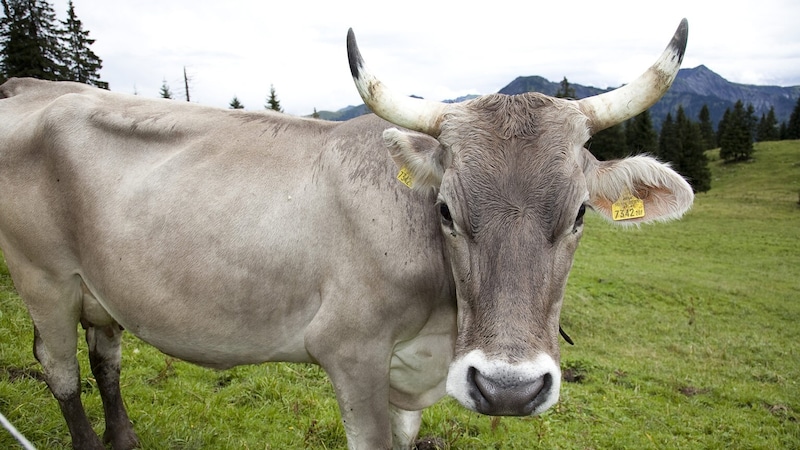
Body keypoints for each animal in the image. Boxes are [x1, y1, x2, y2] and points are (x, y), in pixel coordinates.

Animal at [0, 18, 692, 450]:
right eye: (445, 210)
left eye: (579, 214)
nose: (507, 389)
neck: (442, 325)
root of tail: (31, 84)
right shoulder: (350, 353)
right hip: (43, 278)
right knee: (59, 370)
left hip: (102, 287)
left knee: (105, 356)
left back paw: (125, 438)